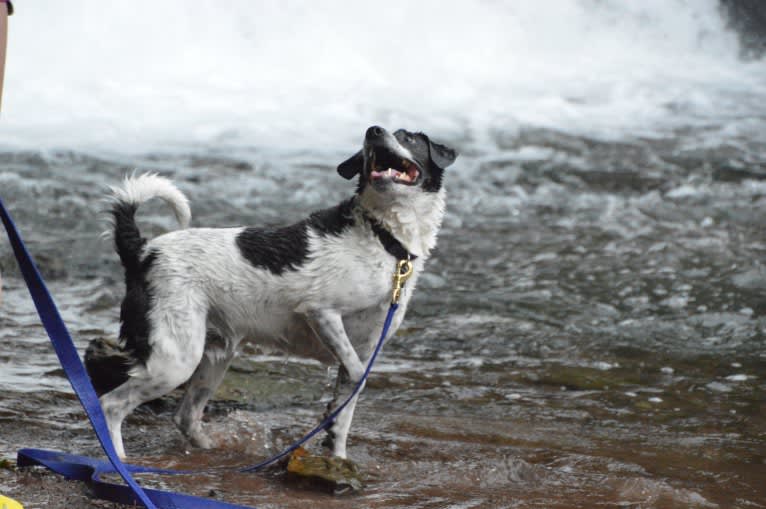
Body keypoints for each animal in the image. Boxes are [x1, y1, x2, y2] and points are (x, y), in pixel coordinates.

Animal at [85, 126, 456, 456]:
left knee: (185, 416)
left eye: (407, 137)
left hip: (214, 355)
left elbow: (344, 411)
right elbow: (356, 378)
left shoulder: (364, 346)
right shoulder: (321, 312)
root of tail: (143, 252)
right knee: (110, 405)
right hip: (175, 360)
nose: (373, 131)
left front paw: (337, 457)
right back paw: (120, 462)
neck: (383, 237)